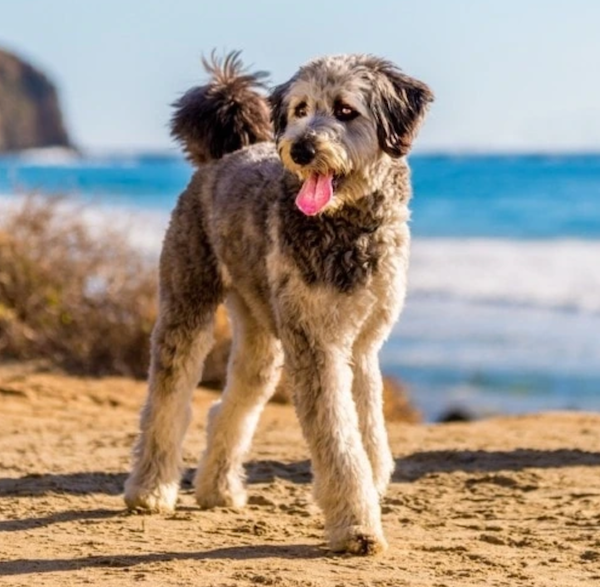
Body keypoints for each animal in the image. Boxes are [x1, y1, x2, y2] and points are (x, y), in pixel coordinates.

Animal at [124, 50, 432, 556]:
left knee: (230, 405)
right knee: (168, 400)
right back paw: (149, 488)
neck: (346, 226)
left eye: (345, 110)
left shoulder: (363, 345)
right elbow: (340, 440)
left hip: (261, 335)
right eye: (301, 109)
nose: (301, 149)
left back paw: (217, 488)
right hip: (187, 304)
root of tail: (223, 156)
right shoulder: (317, 346)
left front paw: (369, 489)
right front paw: (356, 524)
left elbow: (369, 431)